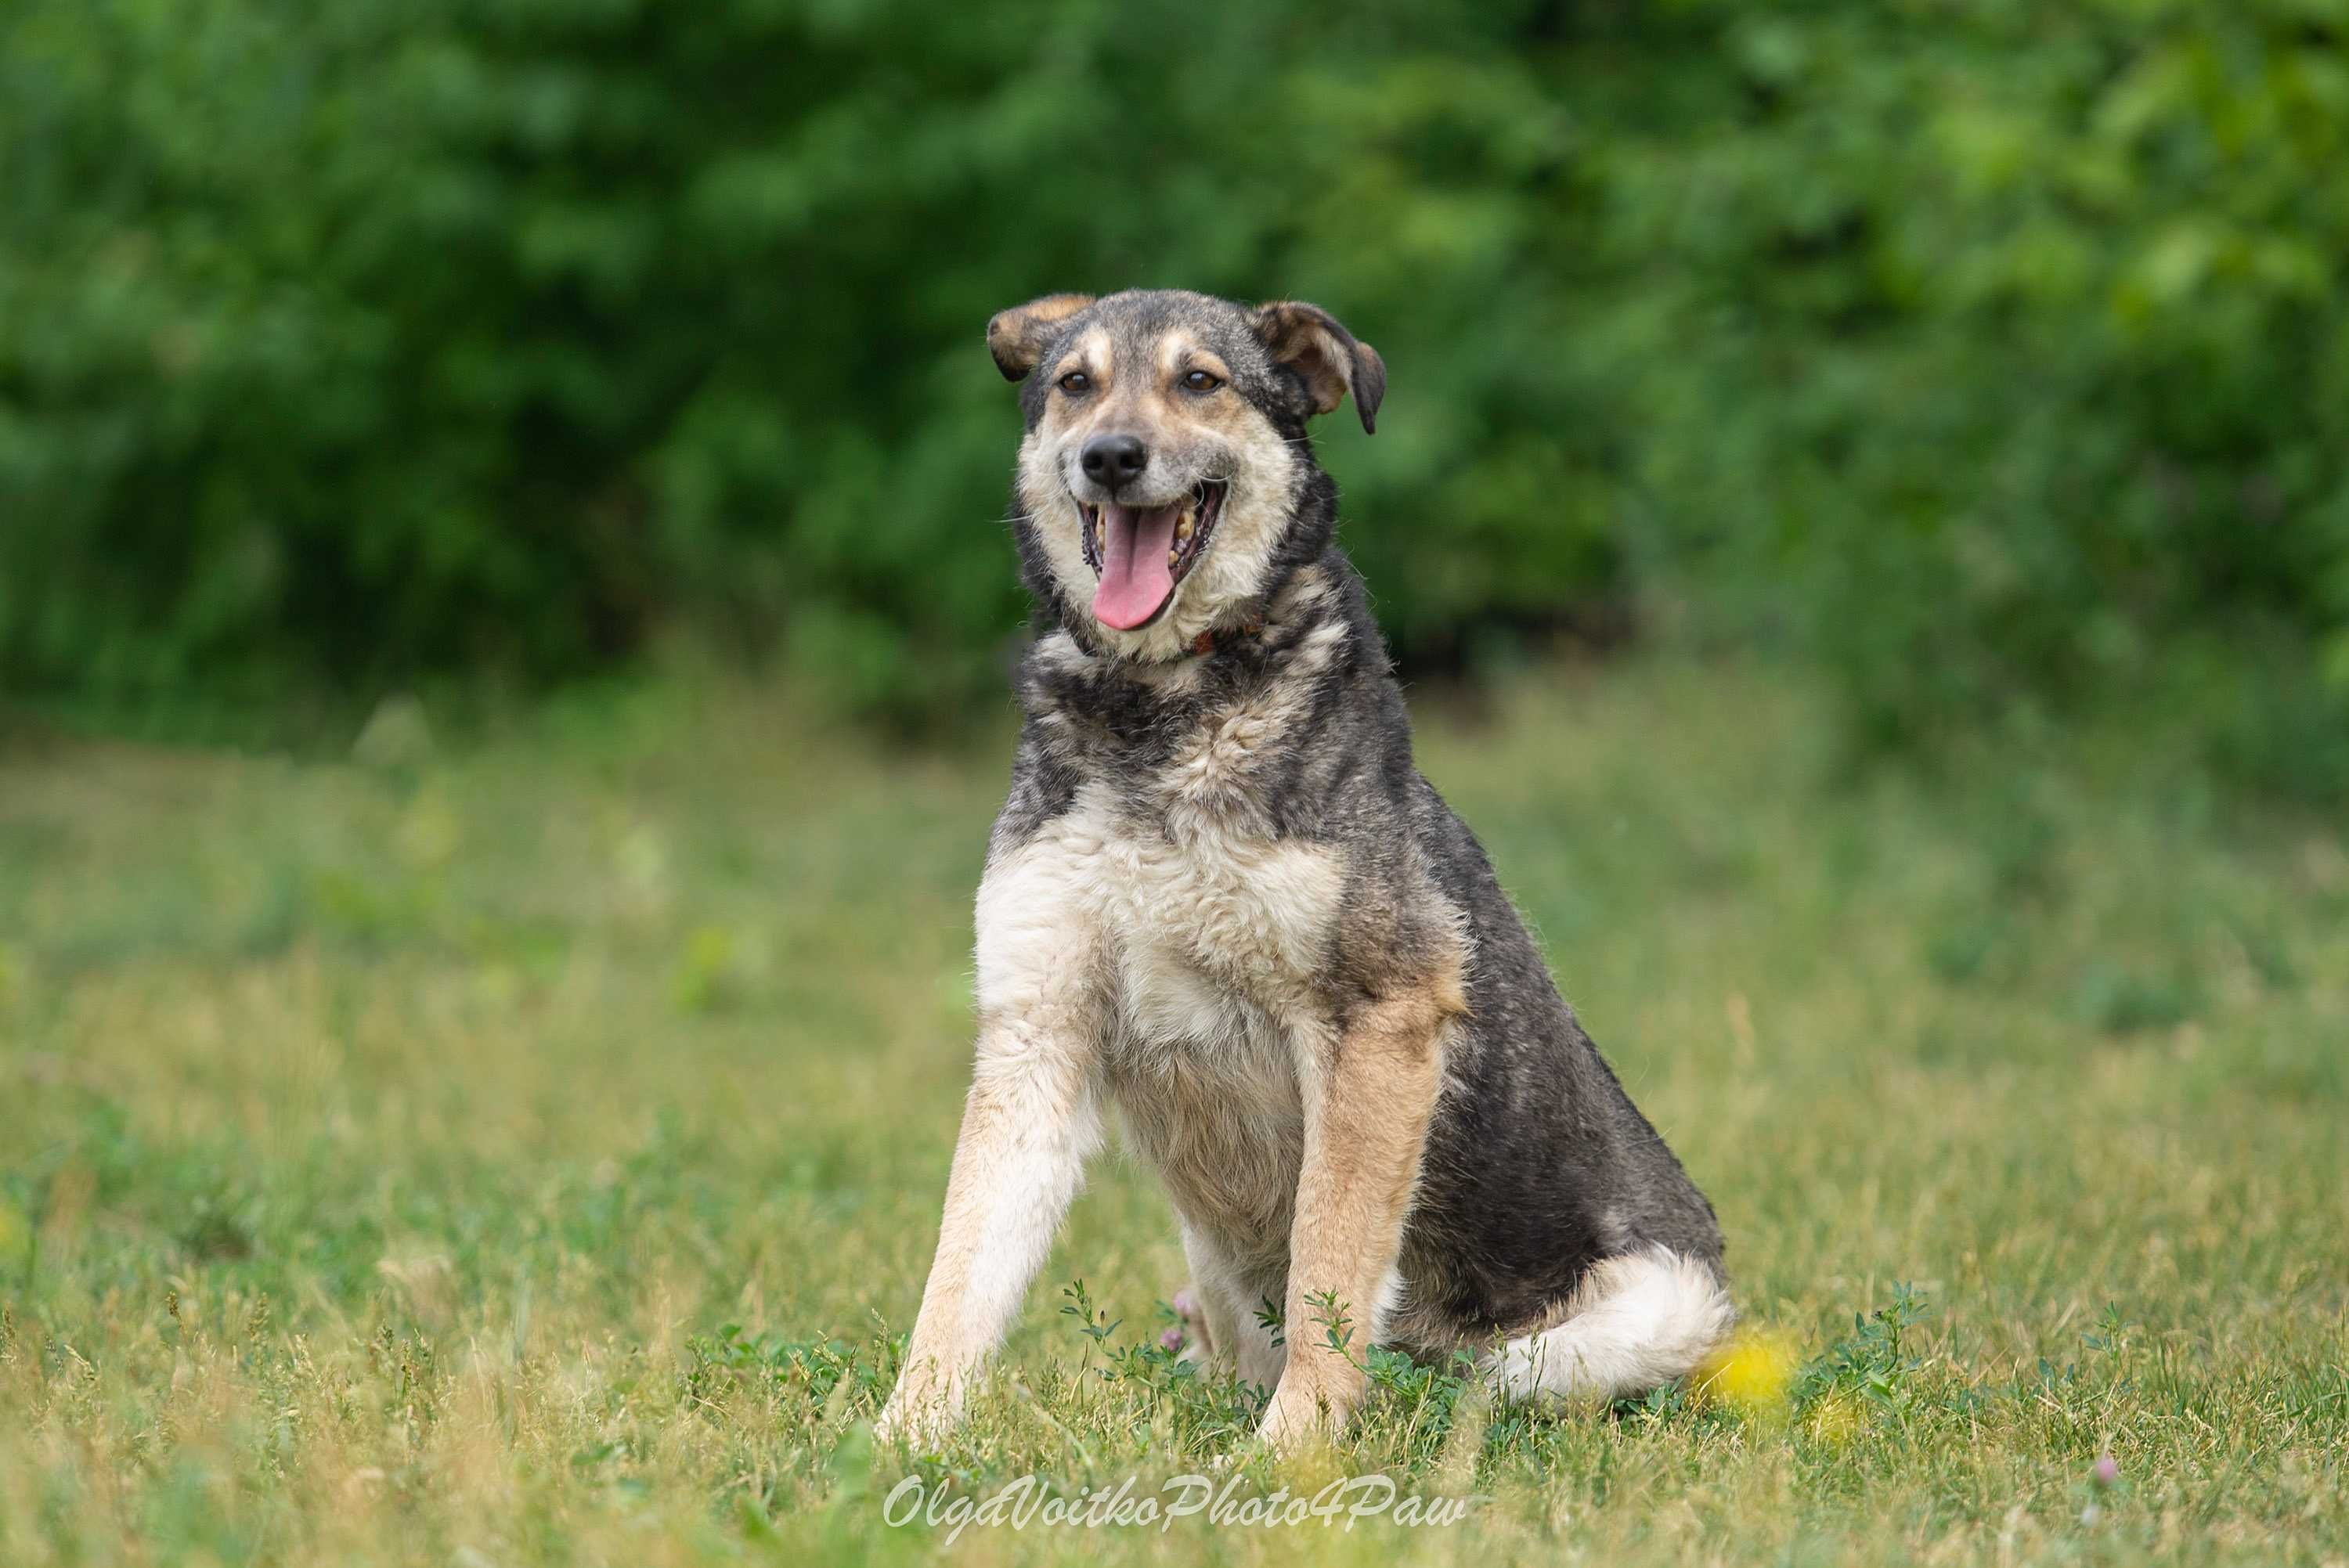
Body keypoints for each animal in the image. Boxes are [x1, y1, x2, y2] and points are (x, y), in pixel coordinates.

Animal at [879, 290, 1729, 1446]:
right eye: (1075, 384)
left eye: (1200, 381)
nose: (1110, 457)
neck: (1162, 706)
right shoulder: (1034, 1032)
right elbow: (958, 1279)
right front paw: (892, 1441)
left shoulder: (1378, 1023)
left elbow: (1330, 1262)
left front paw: (1293, 1453)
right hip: (1201, 1257)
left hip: (1643, 1315)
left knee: (1468, 1380)